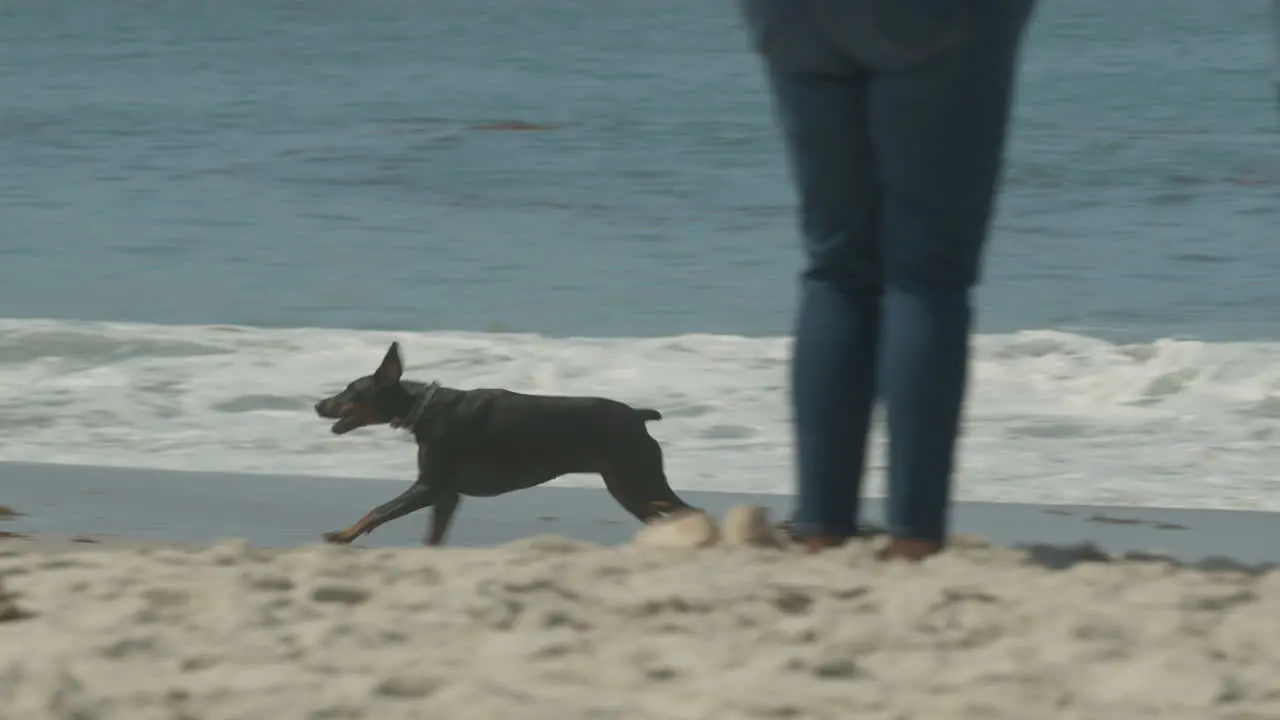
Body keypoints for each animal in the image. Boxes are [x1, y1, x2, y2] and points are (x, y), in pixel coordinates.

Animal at [313, 340, 696, 543]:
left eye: (350, 390)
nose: (317, 405)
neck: (424, 408)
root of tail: (638, 416)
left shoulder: (430, 486)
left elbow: (378, 510)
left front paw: (343, 535)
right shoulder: (446, 495)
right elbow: (433, 537)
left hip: (638, 477)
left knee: (690, 510)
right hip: (626, 487)